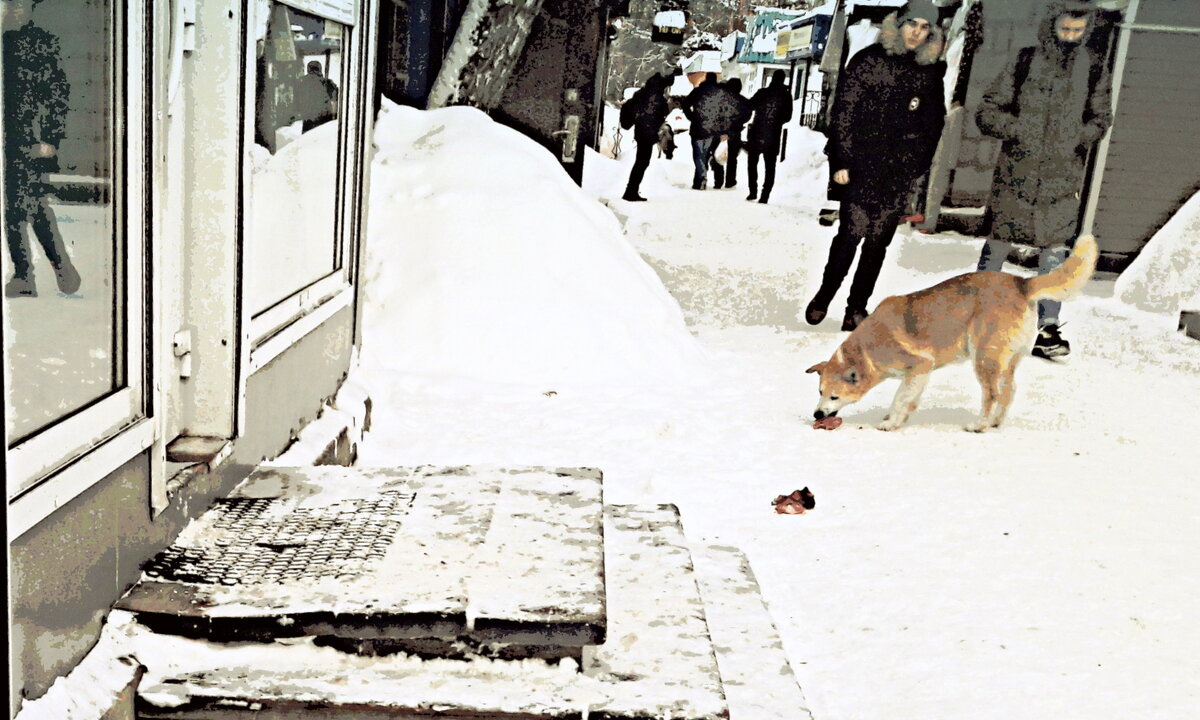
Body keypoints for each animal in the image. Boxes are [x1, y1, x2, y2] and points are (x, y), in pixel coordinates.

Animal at [806, 235, 1099, 432]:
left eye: (834, 396)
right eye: (819, 390)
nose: (818, 414)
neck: (868, 348)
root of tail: (1021, 283)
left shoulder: (920, 365)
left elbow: (900, 398)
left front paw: (890, 423)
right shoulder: (919, 374)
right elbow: (908, 399)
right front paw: (897, 419)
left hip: (984, 359)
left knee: (992, 395)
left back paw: (978, 425)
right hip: (1007, 361)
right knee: (1009, 392)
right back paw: (995, 423)